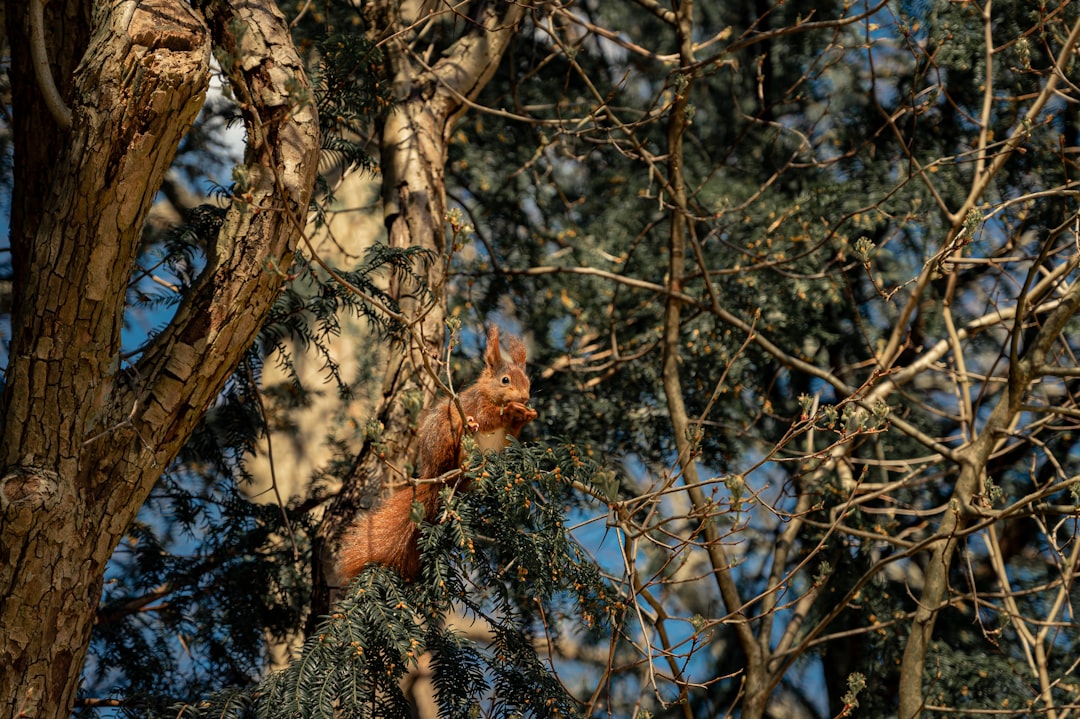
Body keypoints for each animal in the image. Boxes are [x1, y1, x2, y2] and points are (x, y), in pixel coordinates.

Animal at [334, 328, 537, 578]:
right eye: (505, 380)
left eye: (527, 381)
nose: (525, 398)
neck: (489, 395)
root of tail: (434, 476)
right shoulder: (477, 404)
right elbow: (488, 417)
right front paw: (511, 410)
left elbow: (511, 433)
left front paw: (527, 415)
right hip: (443, 432)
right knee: (451, 451)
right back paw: (462, 434)